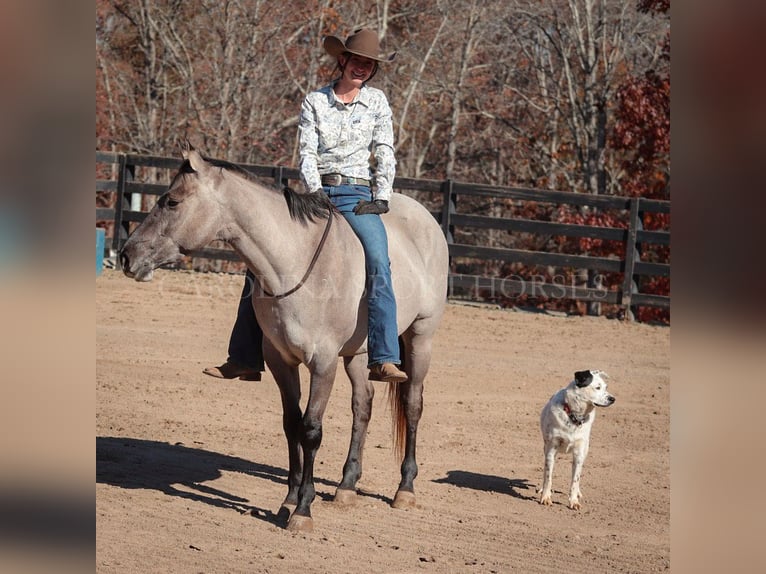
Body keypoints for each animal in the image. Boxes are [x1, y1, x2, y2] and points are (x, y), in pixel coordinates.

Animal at [120, 146, 450, 532]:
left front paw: (303, 509)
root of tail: (425, 218)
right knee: (363, 405)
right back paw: (347, 486)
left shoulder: (323, 363)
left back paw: (405, 488)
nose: (127, 255)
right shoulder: (281, 361)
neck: (295, 263)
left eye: (171, 202)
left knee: (412, 404)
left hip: (420, 337)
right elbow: (291, 424)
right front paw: (289, 499)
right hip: (356, 353)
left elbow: (311, 429)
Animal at [540, 372, 616, 510]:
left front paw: (574, 501)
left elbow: (575, 480)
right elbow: (548, 476)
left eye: (606, 387)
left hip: (585, 450)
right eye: (597, 387)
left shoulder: (579, 454)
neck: (574, 417)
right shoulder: (551, 450)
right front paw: (545, 497)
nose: (613, 399)